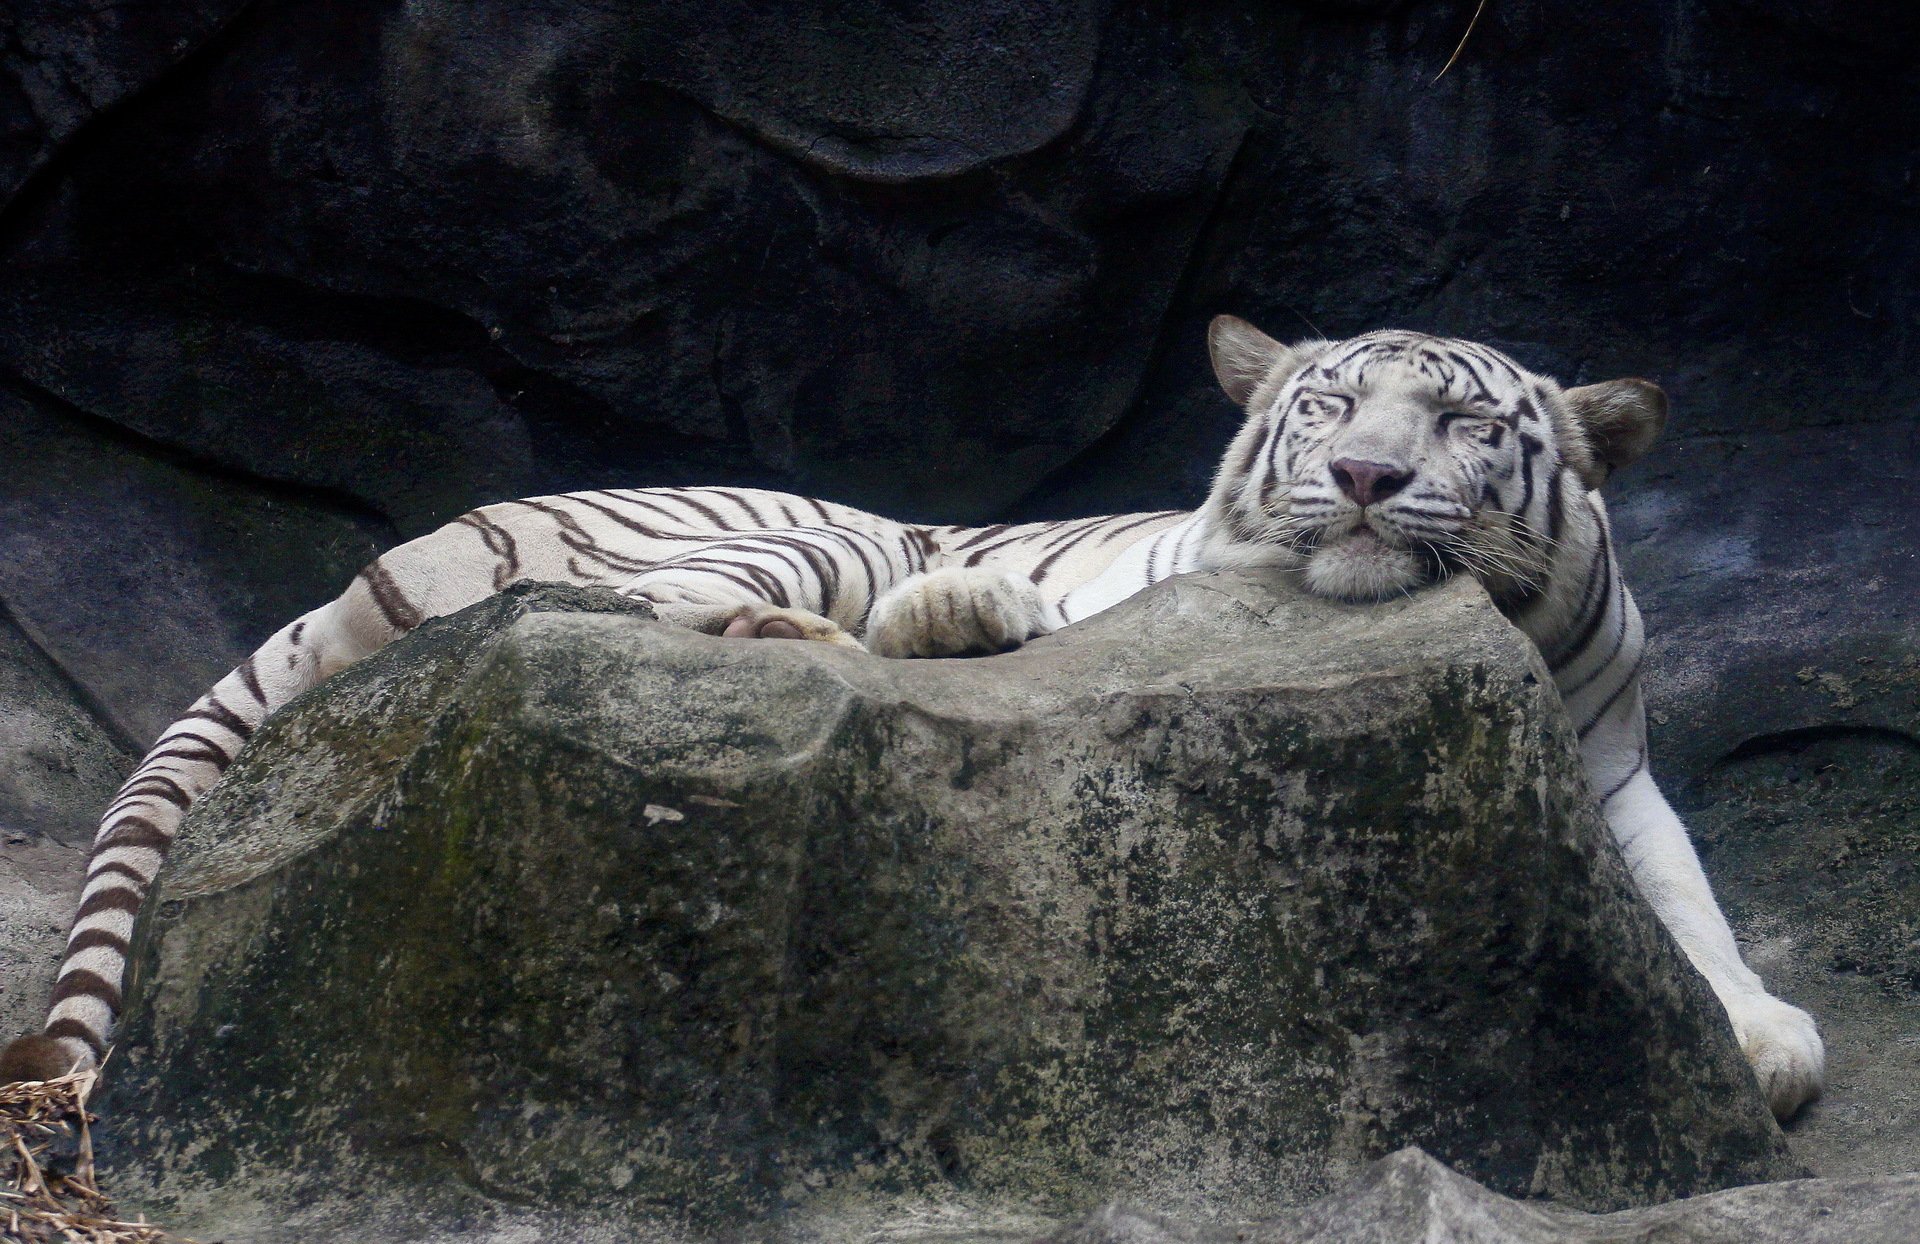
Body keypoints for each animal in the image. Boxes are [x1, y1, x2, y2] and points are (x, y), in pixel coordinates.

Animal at [0, 318, 1820, 1121]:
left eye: (1457, 421)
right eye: (1327, 409)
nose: (1366, 479)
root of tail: (387, 553)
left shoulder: (1607, 755)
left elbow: (1684, 896)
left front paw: (1760, 1032)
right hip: (771, 531)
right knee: (627, 613)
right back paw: (927, 617)